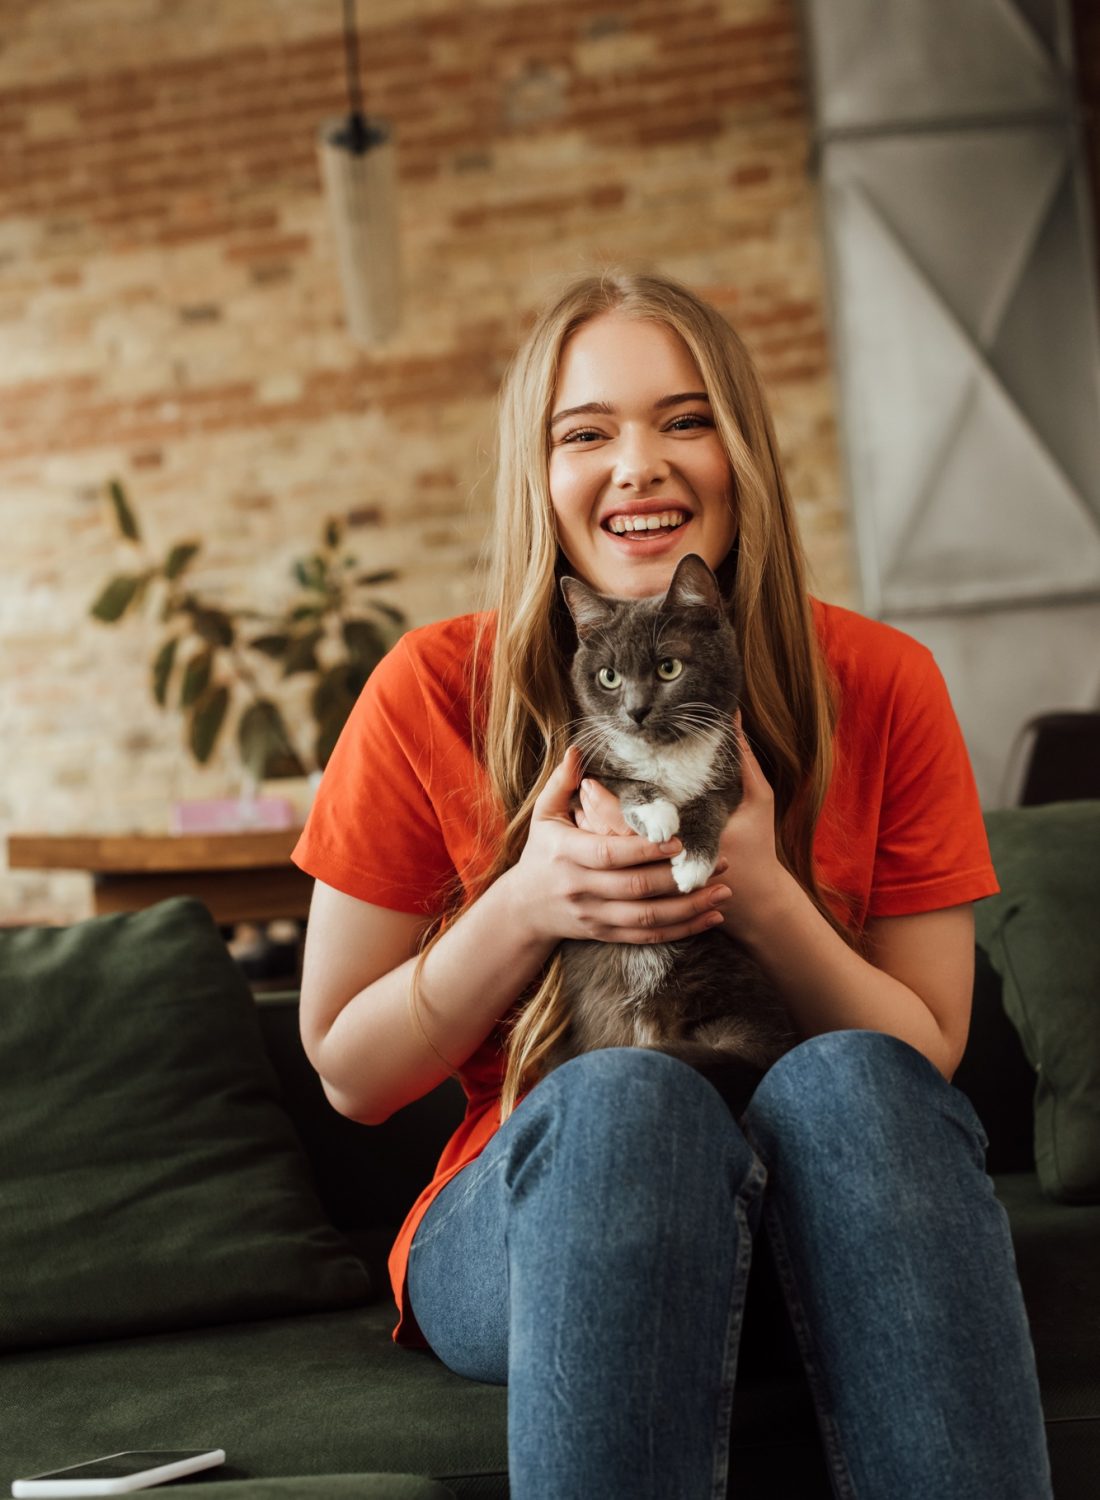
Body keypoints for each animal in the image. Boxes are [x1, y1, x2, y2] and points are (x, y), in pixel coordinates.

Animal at [546, 552, 792, 1092]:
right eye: (608, 677)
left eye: (669, 667)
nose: (636, 711)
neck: (666, 754)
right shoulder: (584, 774)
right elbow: (623, 782)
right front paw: (657, 813)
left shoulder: (733, 771)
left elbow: (710, 802)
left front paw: (692, 862)